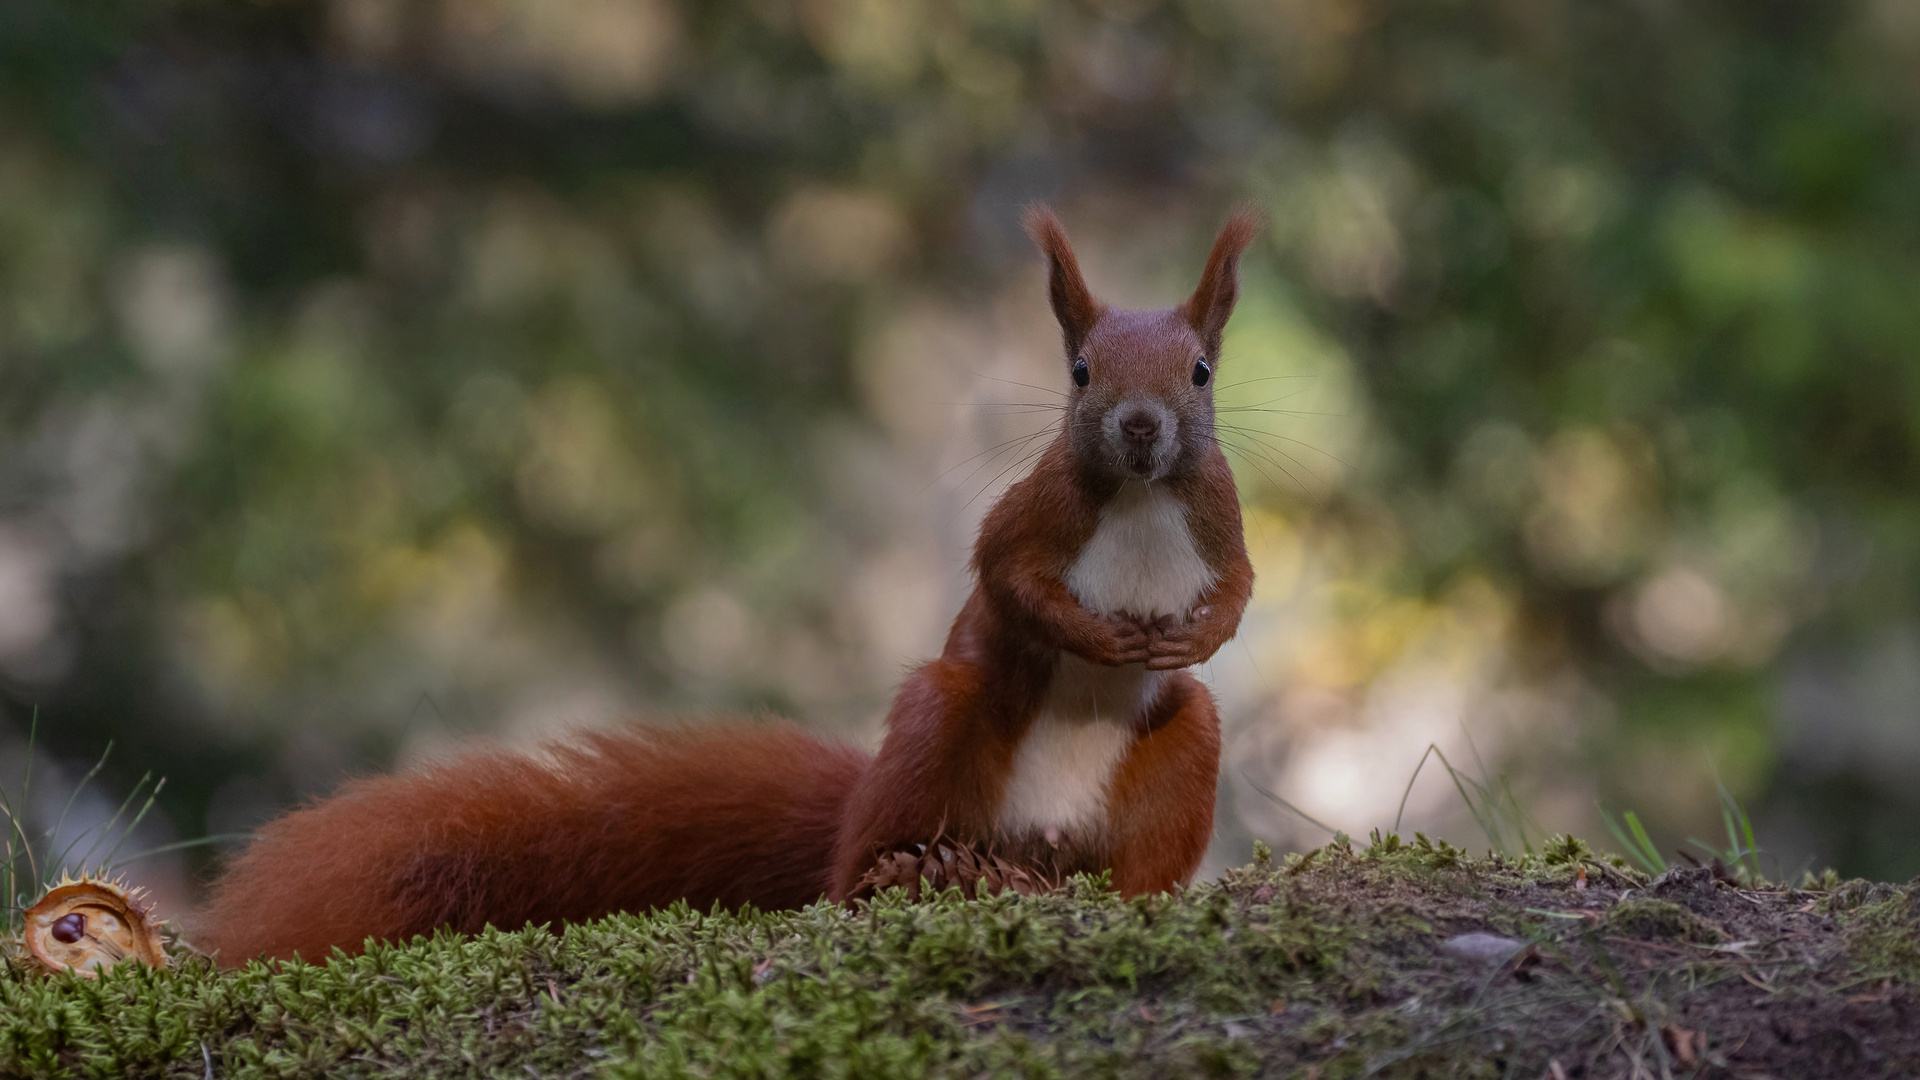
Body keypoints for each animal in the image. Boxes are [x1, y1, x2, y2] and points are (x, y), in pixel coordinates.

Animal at [198, 205, 1259, 960]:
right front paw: (1097, 633)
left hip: (1174, 764)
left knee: (1150, 832)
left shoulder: (1222, 519)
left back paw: (1101, 895)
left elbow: (1241, 590)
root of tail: (1030, 841)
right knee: (851, 870)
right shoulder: (1032, 515)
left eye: (1201, 372)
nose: (1138, 427)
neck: (1139, 495)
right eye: (1079, 371)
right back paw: (900, 879)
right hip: (941, 723)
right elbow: (1006, 577)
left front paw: (1195, 636)